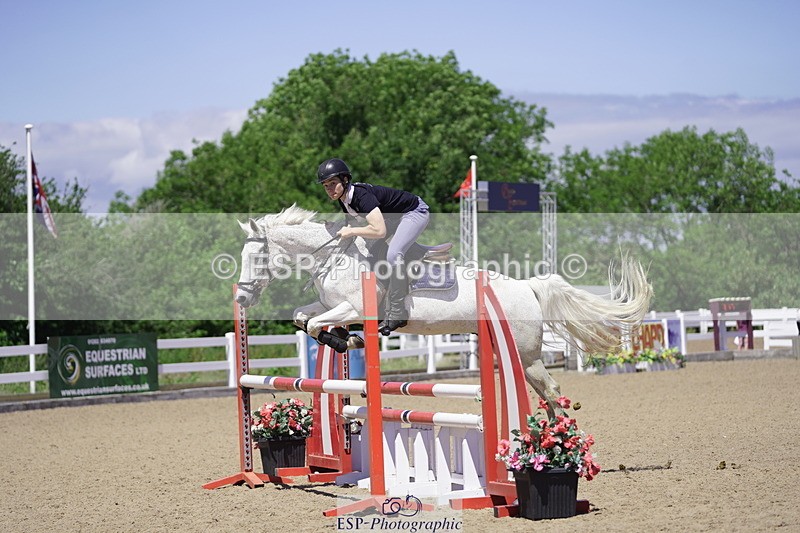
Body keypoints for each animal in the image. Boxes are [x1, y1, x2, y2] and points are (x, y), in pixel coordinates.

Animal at [235, 204, 653, 416]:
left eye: (257, 257)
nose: (241, 299)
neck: (335, 254)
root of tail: (526, 286)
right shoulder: (328, 304)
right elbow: (302, 317)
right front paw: (345, 341)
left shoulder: (349, 306)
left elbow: (315, 324)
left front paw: (346, 341)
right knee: (545, 391)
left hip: (525, 351)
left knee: (550, 388)